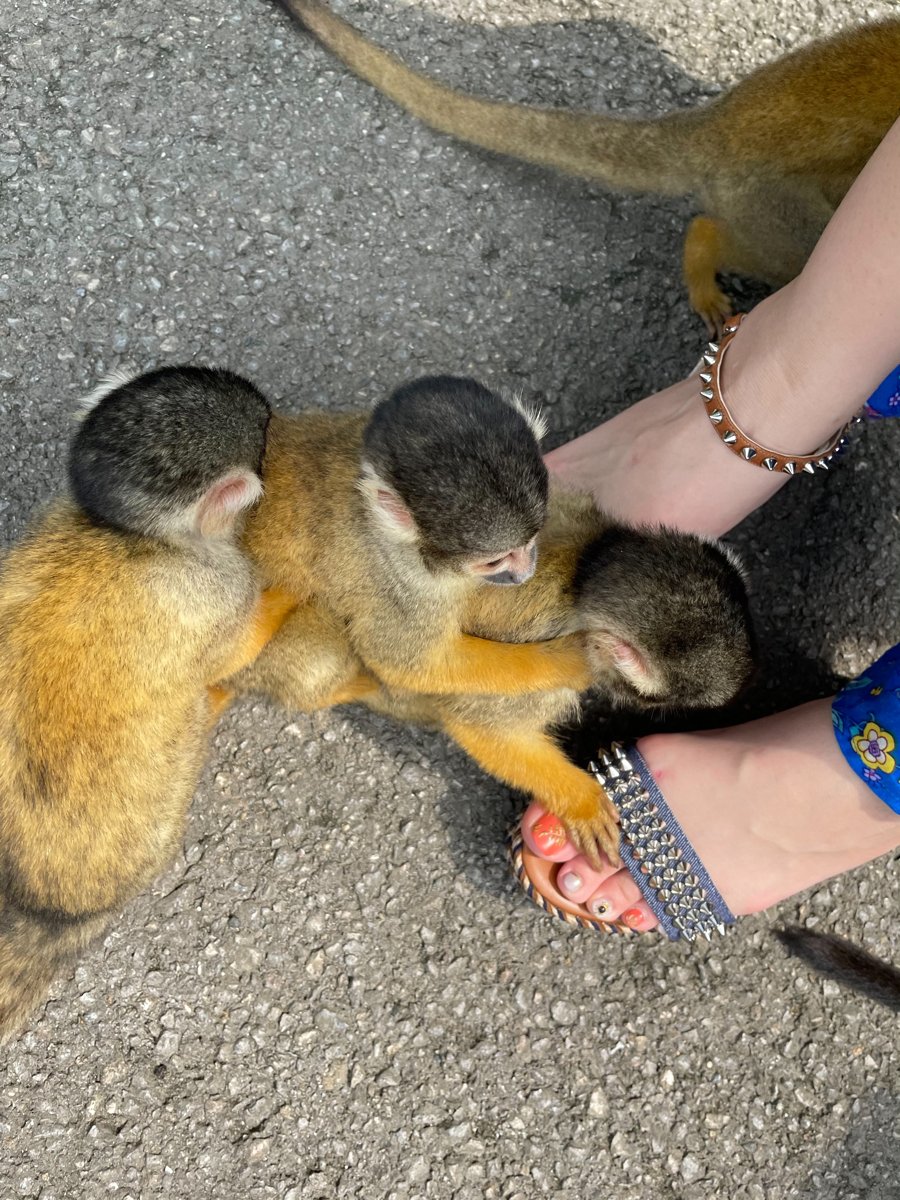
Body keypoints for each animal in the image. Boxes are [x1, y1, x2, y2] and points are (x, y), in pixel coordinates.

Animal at [0, 366, 296, 1042]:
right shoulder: (215, 585)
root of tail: (44, 907)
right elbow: (232, 644)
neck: (134, 535)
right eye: (265, 437)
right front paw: (287, 599)